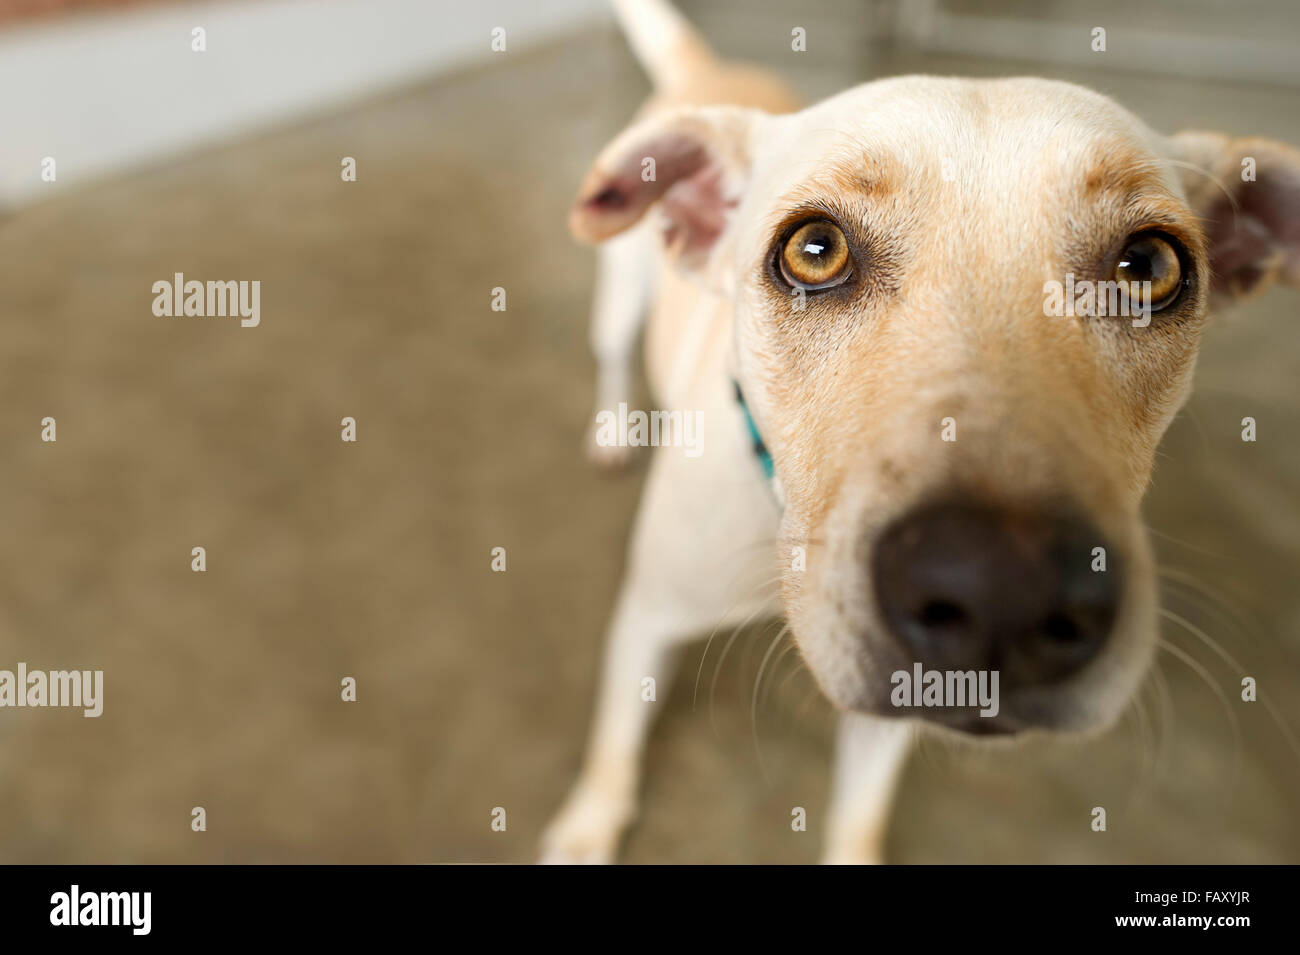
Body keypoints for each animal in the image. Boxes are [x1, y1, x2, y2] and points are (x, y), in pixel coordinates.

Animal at [540, 0, 1300, 867]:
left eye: (1149, 266)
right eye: (814, 249)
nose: (1003, 591)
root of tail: (712, 72)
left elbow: (859, 813)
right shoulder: (647, 619)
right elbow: (615, 742)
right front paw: (590, 824)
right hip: (619, 298)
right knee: (610, 355)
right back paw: (612, 430)